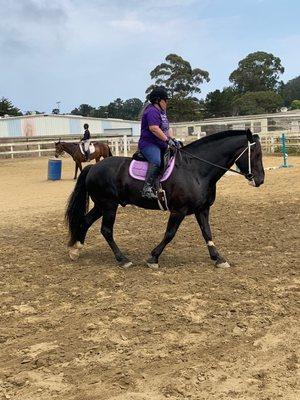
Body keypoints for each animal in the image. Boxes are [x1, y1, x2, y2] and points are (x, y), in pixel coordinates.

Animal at [66, 131, 264, 268]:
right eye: (256, 154)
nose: (260, 180)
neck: (196, 169)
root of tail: (93, 167)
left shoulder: (202, 209)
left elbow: (207, 233)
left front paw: (218, 258)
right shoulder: (179, 210)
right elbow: (169, 234)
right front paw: (153, 258)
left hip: (102, 205)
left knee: (85, 221)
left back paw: (75, 250)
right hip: (109, 206)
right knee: (106, 230)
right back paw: (122, 260)